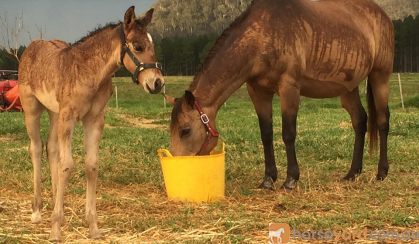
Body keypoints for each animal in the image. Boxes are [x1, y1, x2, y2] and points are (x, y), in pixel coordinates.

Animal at [19, 6, 164, 242]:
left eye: (152, 45)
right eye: (138, 46)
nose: (158, 83)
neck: (89, 72)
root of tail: (31, 48)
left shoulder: (94, 120)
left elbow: (91, 165)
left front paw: (93, 227)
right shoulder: (68, 117)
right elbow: (67, 165)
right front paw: (56, 230)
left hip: (54, 113)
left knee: (51, 148)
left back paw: (55, 203)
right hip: (31, 109)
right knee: (36, 148)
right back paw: (37, 212)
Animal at [169, 0, 396, 191]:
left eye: (185, 130)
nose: (177, 163)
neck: (262, 36)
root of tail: (383, 16)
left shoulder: (289, 89)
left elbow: (288, 133)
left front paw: (291, 180)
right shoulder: (258, 92)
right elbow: (266, 134)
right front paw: (268, 179)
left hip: (380, 77)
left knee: (382, 121)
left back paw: (382, 172)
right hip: (348, 88)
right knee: (360, 121)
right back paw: (352, 173)